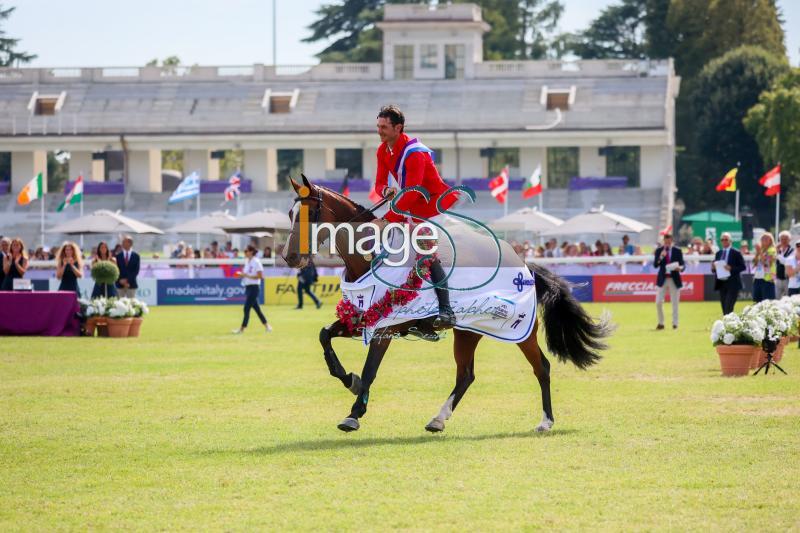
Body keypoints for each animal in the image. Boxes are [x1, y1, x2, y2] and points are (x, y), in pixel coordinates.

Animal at [278, 177, 608, 434]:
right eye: (290, 213)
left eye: (310, 213)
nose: (289, 257)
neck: (370, 256)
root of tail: (524, 265)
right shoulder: (361, 320)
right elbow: (325, 336)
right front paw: (350, 380)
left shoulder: (385, 329)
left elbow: (371, 369)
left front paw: (354, 413)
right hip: (467, 332)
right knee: (466, 375)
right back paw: (438, 418)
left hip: (520, 332)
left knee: (541, 367)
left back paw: (546, 421)